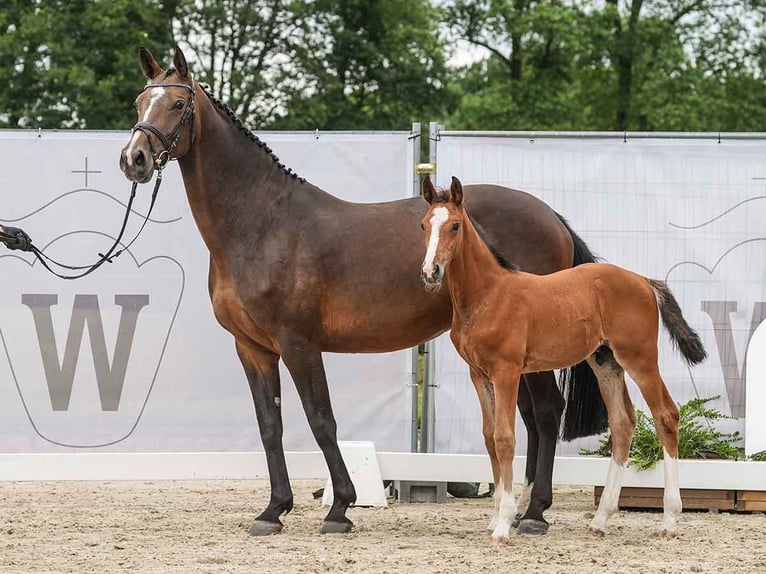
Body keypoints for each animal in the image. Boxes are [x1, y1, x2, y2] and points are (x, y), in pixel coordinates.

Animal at [420, 177, 708, 544]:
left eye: (455, 225)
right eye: (424, 225)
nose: (430, 272)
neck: (490, 293)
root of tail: (644, 281)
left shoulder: (506, 371)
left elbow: (504, 438)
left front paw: (504, 523)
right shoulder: (479, 373)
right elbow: (488, 436)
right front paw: (495, 515)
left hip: (640, 357)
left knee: (666, 415)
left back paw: (670, 519)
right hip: (605, 362)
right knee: (623, 422)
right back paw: (600, 519)